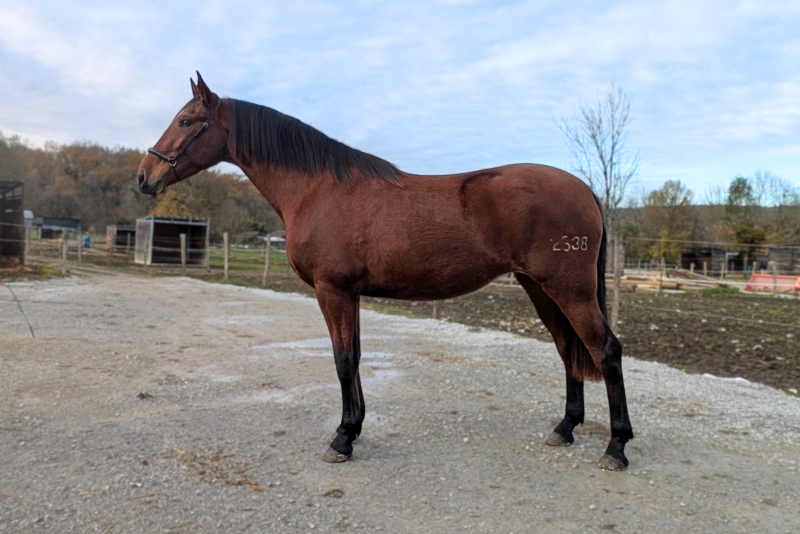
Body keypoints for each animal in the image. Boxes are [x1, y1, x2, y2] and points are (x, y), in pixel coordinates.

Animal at [137, 72, 634, 471]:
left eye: (186, 121)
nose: (144, 176)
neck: (317, 189)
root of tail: (584, 188)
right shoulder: (350, 294)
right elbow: (353, 358)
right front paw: (353, 429)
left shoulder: (333, 290)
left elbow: (343, 361)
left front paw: (341, 440)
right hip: (540, 288)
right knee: (568, 350)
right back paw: (565, 428)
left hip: (568, 289)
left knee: (606, 350)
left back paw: (616, 448)